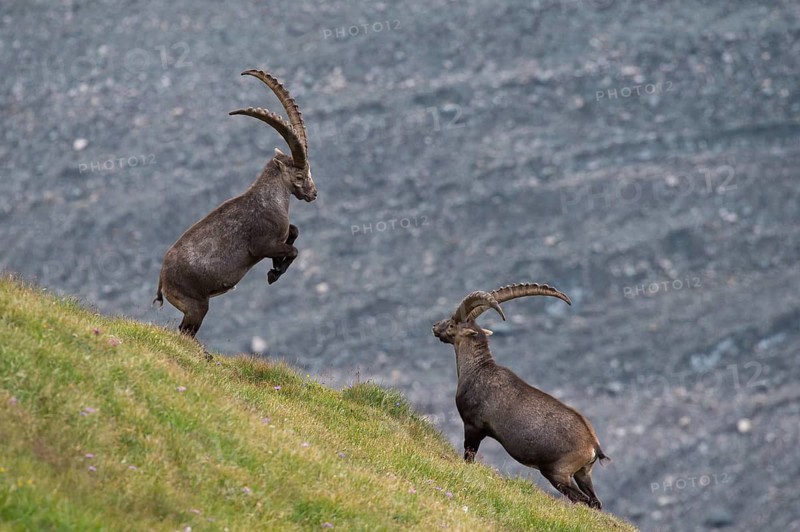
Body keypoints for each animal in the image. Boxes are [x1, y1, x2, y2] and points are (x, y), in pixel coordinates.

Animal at [154, 69, 316, 337]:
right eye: (300, 176)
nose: (313, 194)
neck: (269, 199)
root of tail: (162, 279)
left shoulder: (280, 235)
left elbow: (294, 232)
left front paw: (275, 267)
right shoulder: (262, 245)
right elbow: (292, 250)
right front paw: (274, 273)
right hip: (196, 305)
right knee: (186, 331)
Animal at [432, 283, 608, 509]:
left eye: (453, 324)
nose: (435, 326)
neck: (477, 369)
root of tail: (593, 446)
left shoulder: (473, 426)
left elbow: (469, 456)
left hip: (557, 473)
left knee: (581, 499)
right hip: (583, 473)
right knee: (595, 502)